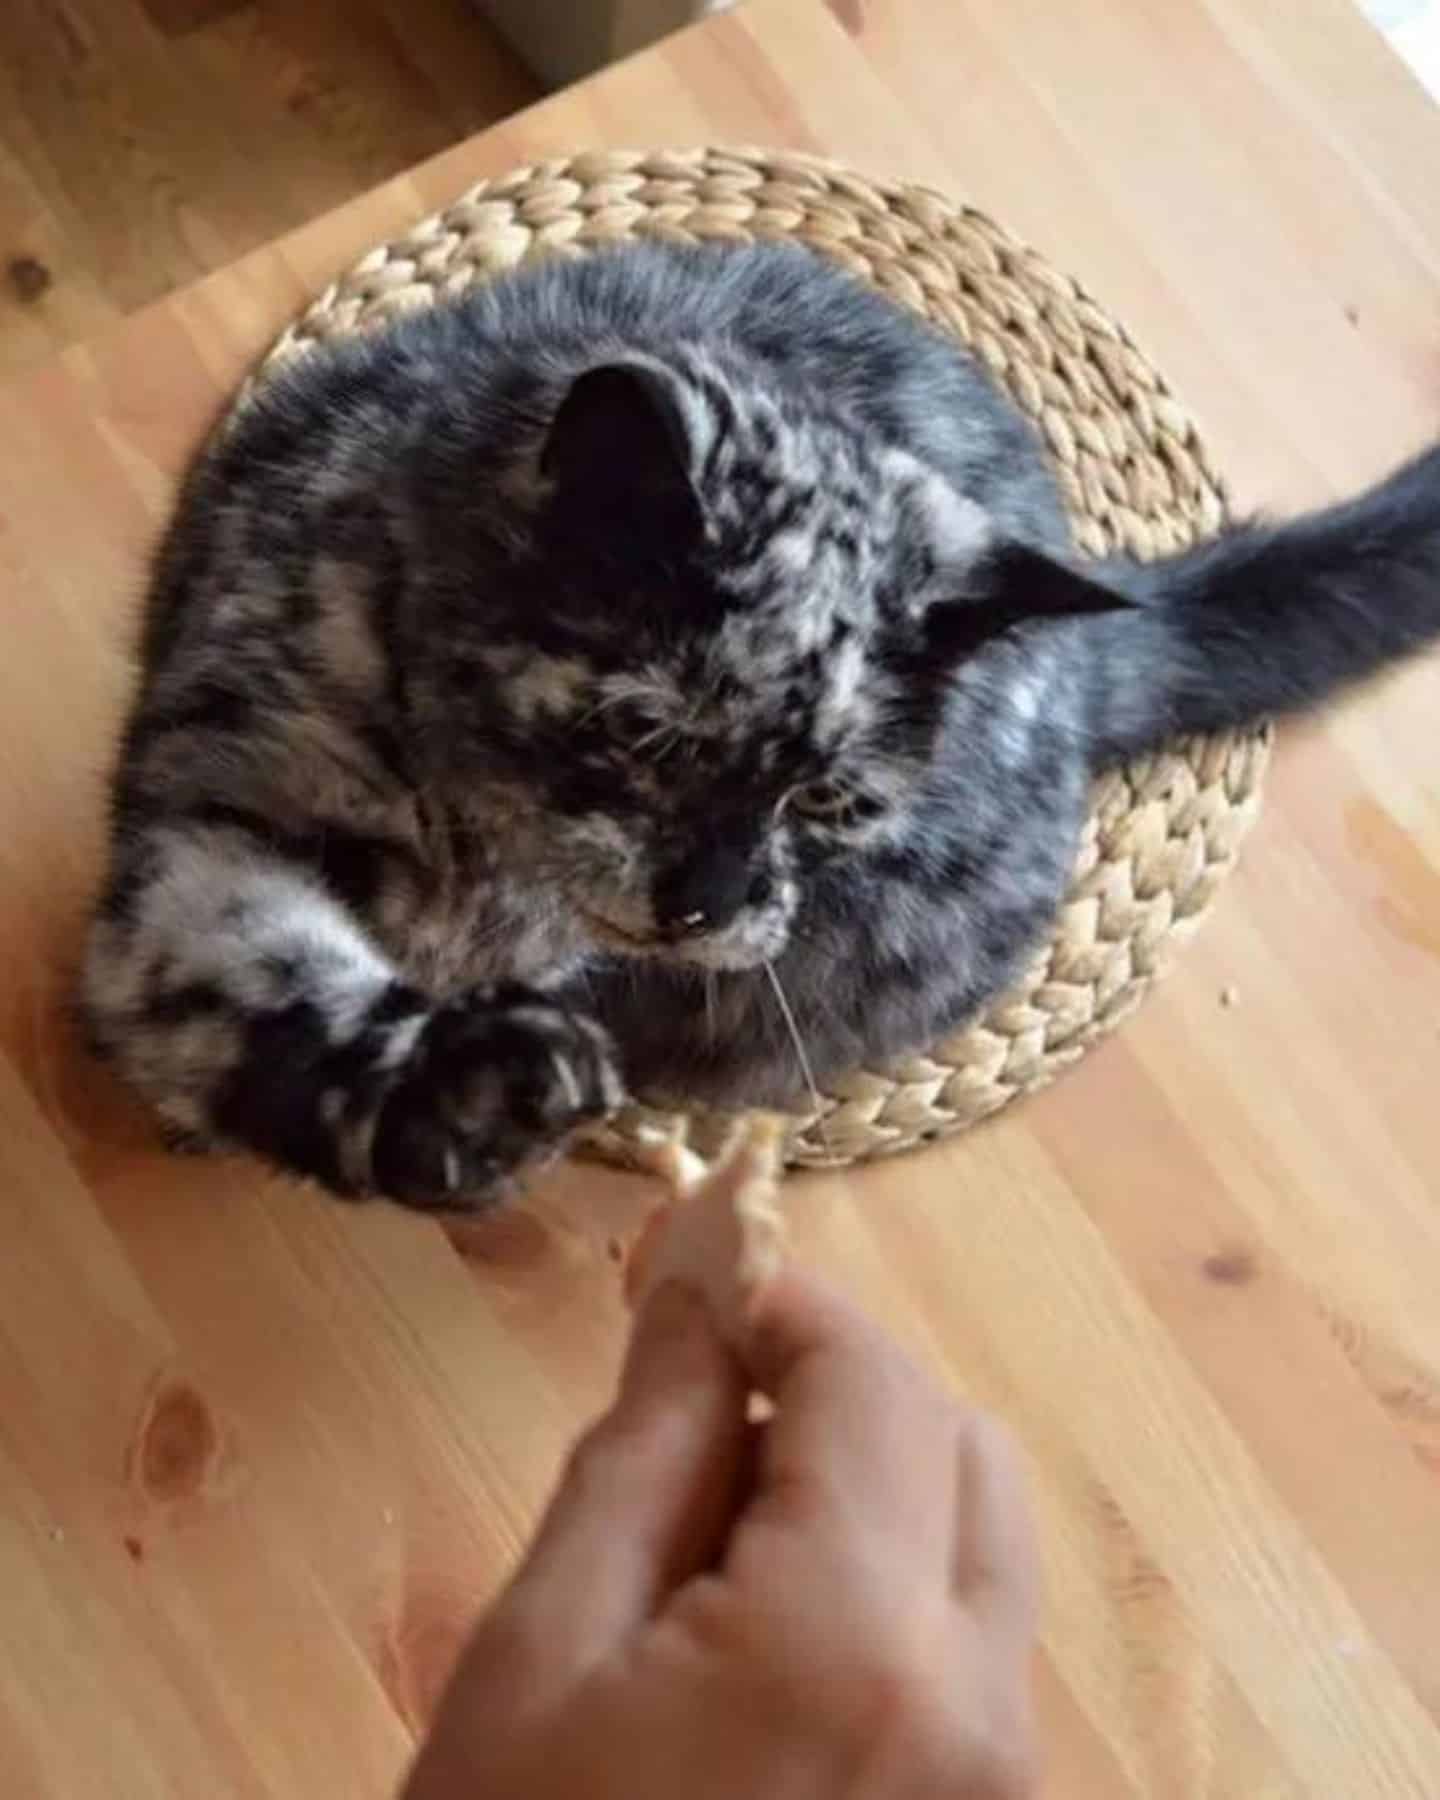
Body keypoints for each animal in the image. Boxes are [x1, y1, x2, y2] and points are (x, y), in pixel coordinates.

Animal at [81, 239, 1440, 1209]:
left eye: (831, 800)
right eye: (649, 736)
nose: (708, 905)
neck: (486, 855)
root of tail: (1092, 651)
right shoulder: (218, 816)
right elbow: (263, 982)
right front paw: (450, 1095)